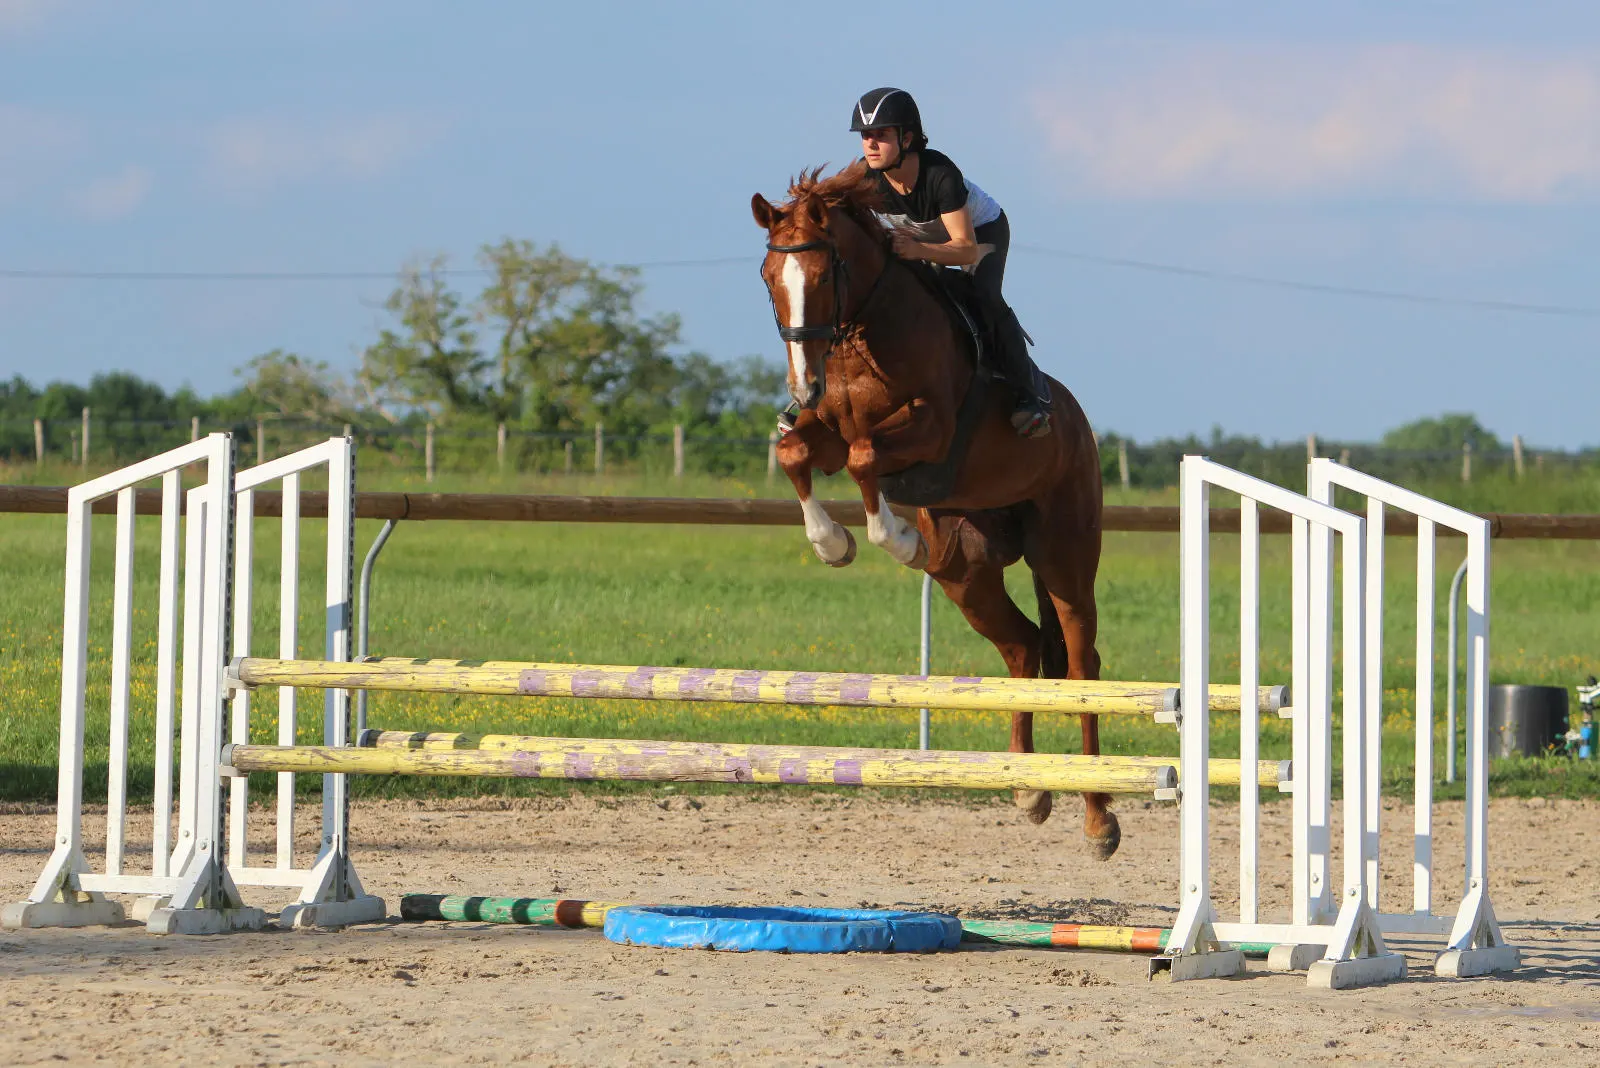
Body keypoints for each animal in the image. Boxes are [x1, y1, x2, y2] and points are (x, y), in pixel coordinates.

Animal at [751, 163, 1118, 859]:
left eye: (823, 275)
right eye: (768, 276)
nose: (802, 386)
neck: (861, 334)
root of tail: (1079, 424)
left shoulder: (931, 428)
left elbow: (866, 457)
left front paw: (893, 538)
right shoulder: (825, 430)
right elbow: (794, 452)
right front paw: (832, 544)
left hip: (1063, 550)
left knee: (1081, 662)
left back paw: (1098, 819)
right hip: (967, 575)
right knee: (1024, 648)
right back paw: (1028, 789)